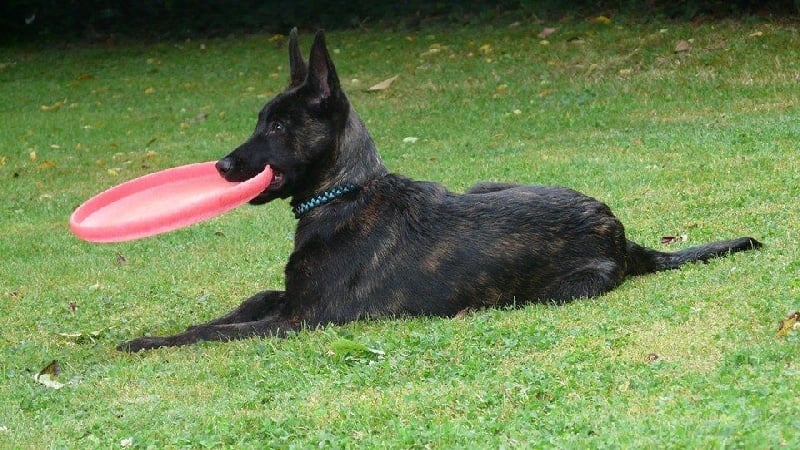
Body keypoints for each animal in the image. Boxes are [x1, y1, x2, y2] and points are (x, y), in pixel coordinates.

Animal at [118, 29, 761, 352]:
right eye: (259, 120)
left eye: (278, 126)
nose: (223, 166)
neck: (344, 194)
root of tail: (621, 233)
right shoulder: (286, 302)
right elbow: (240, 308)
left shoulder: (304, 319)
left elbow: (218, 331)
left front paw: (152, 341)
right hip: (484, 184)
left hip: (549, 292)